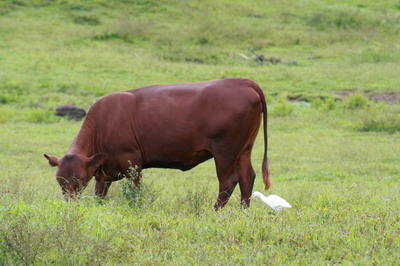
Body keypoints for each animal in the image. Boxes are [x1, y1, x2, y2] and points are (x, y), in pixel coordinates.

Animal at [43, 78, 270, 209]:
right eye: (59, 180)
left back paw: (215, 211)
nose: (69, 205)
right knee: (246, 177)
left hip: (225, 151)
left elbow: (135, 191)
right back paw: (243, 212)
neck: (105, 121)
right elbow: (99, 194)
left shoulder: (131, 161)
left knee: (228, 181)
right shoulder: (104, 170)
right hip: (244, 150)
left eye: (81, 179)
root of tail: (241, 82)